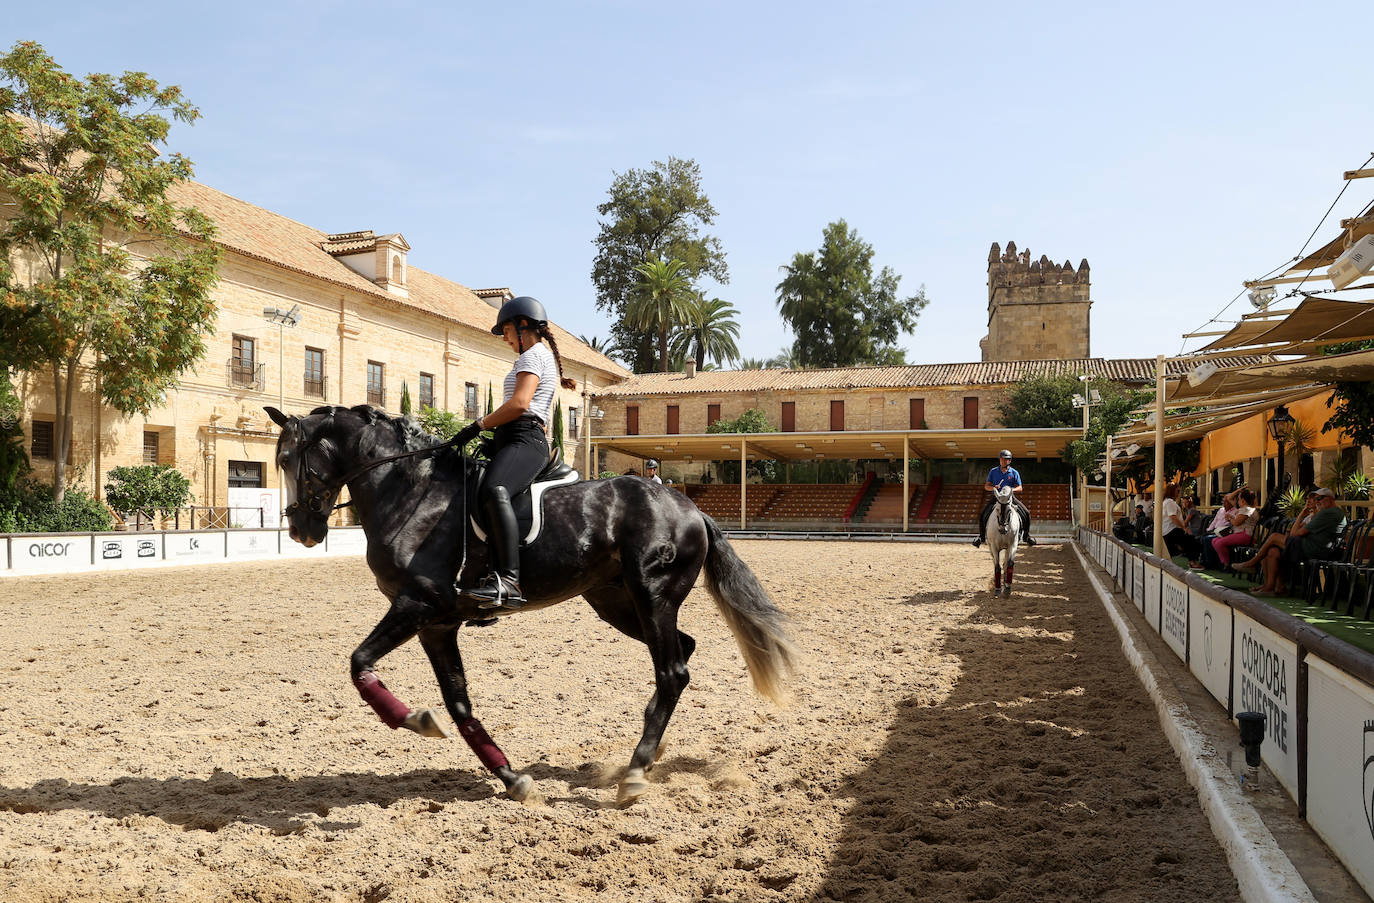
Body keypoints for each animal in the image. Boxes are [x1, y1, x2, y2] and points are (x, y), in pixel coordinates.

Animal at [263, 404, 796, 802]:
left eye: (290, 458)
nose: (300, 530)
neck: (411, 494)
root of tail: (689, 507)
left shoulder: (417, 604)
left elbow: (359, 662)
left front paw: (411, 720)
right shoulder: (437, 624)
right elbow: (458, 703)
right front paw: (510, 777)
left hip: (651, 593)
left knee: (672, 671)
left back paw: (635, 772)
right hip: (615, 602)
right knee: (682, 651)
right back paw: (652, 752)